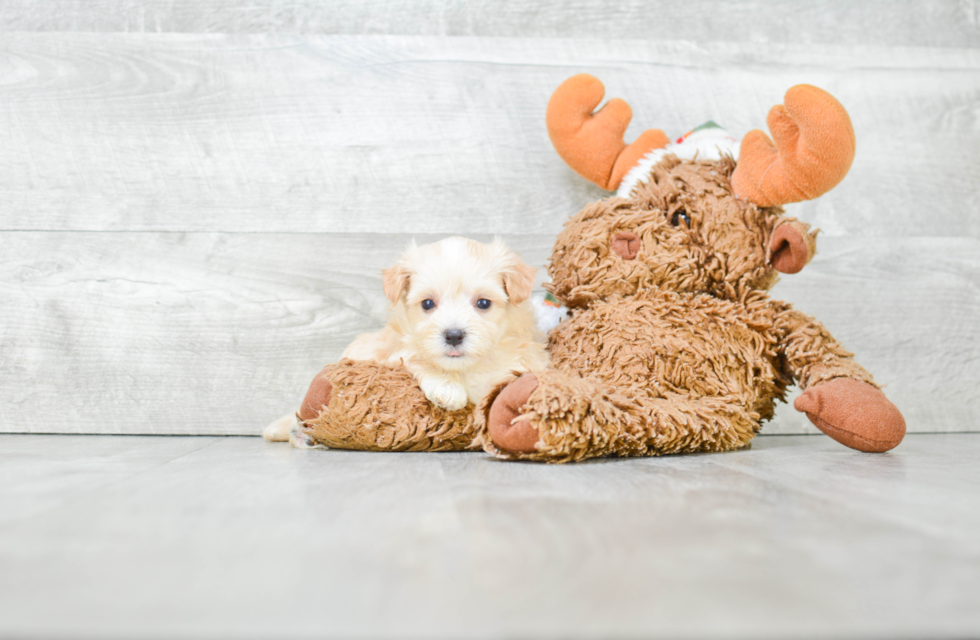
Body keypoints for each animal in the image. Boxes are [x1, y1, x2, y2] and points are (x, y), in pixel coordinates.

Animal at [264, 238, 548, 442]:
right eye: (428, 304)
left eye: (483, 303)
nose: (454, 335)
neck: (465, 369)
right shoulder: (396, 353)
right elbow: (418, 357)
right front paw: (447, 388)